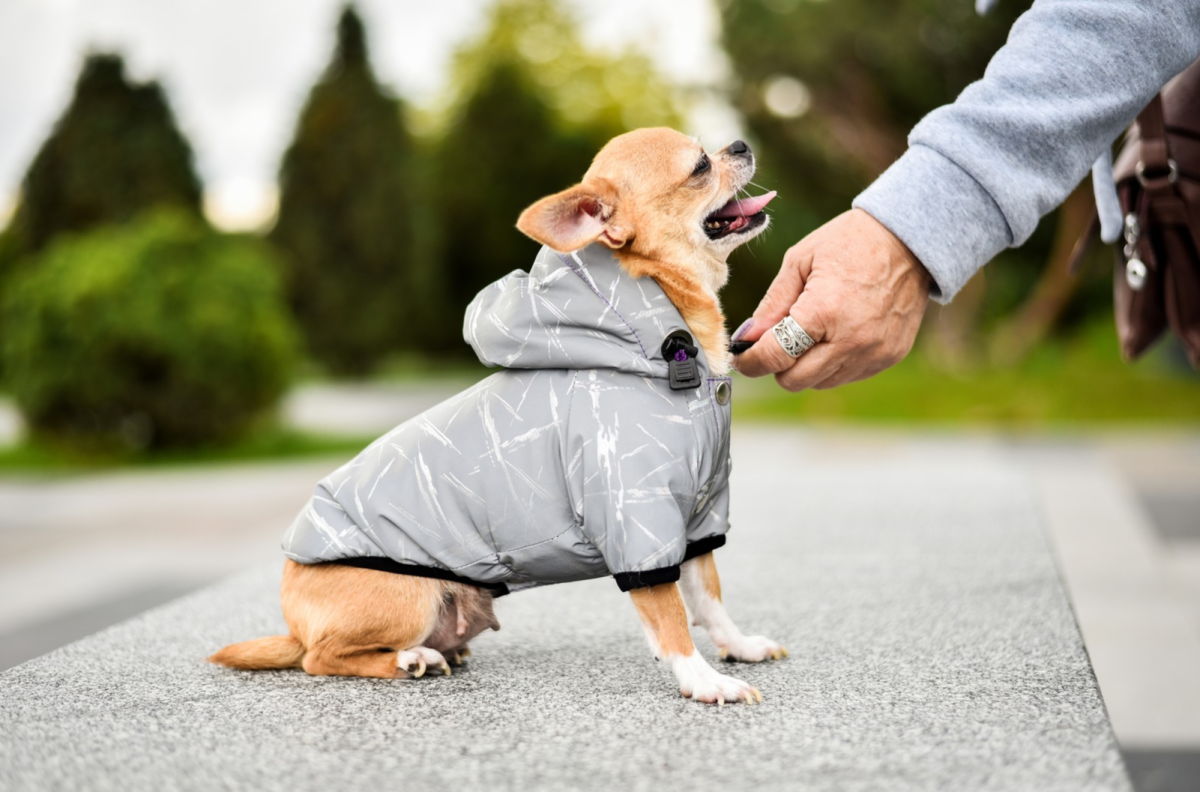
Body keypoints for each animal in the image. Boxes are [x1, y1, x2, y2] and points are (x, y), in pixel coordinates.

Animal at [211, 128, 782, 705]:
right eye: (700, 166)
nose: (739, 143)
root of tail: (293, 623)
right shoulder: (636, 520)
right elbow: (671, 617)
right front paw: (704, 680)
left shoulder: (695, 520)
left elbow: (708, 597)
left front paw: (738, 646)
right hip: (410, 596)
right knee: (321, 658)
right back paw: (411, 659)